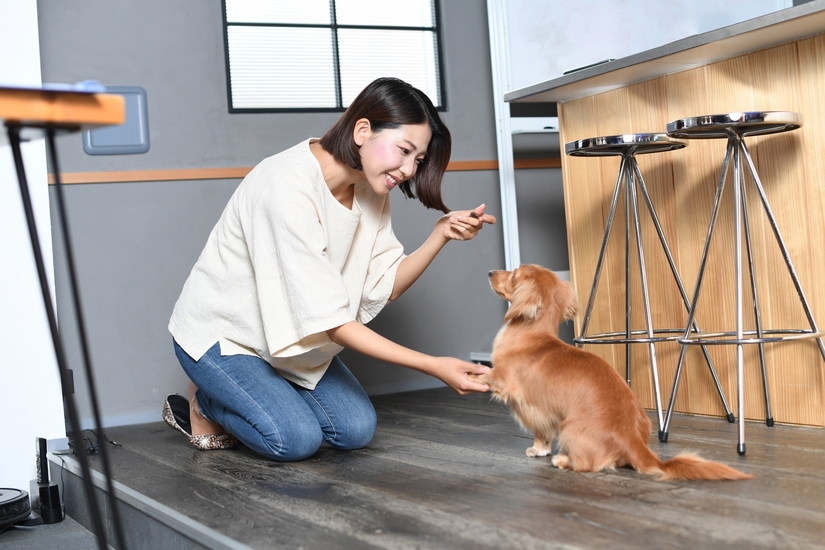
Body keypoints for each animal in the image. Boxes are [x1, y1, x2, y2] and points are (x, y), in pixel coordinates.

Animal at [470, 266, 752, 480]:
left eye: (514, 274)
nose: (490, 271)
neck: (530, 334)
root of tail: (630, 440)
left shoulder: (508, 384)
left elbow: (484, 375)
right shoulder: (541, 410)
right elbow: (541, 433)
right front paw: (539, 450)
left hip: (569, 427)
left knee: (588, 464)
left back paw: (563, 460)